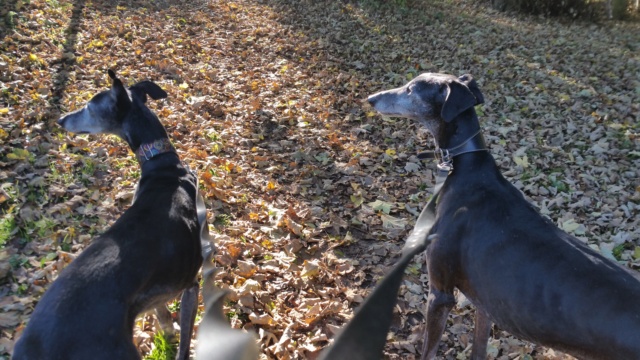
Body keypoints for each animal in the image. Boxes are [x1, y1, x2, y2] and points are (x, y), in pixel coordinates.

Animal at [14, 70, 202, 360]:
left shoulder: (155, 295)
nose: (60, 120)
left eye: (89, 107)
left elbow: (164, 319)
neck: (163, 168)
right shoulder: (191, 285)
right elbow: (182, 343)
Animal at [368, 74, 640, 360]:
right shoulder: (484, 303)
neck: (468, 168)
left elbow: (428, 351)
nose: (371, 99)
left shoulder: (440, 294)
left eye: (411, 89)